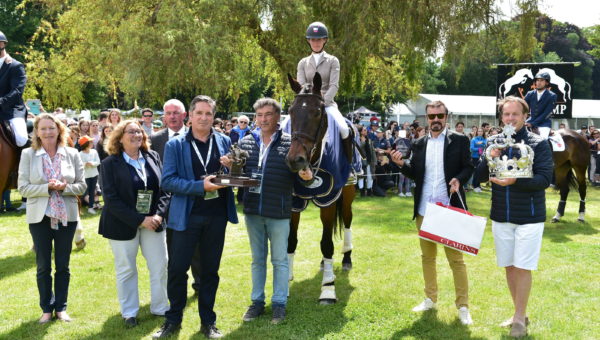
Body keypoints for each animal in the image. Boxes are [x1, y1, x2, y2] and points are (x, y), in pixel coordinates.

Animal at [284, 72, 358, 306]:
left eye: (317, 112)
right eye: (291, 111)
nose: (295, 160)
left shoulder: (329, 200)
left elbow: (327, 244)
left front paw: (328, 290)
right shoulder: (294, 202)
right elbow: (291, 240)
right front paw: (284, 281)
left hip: (347, 194)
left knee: (347, 221)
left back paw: (346, 259)